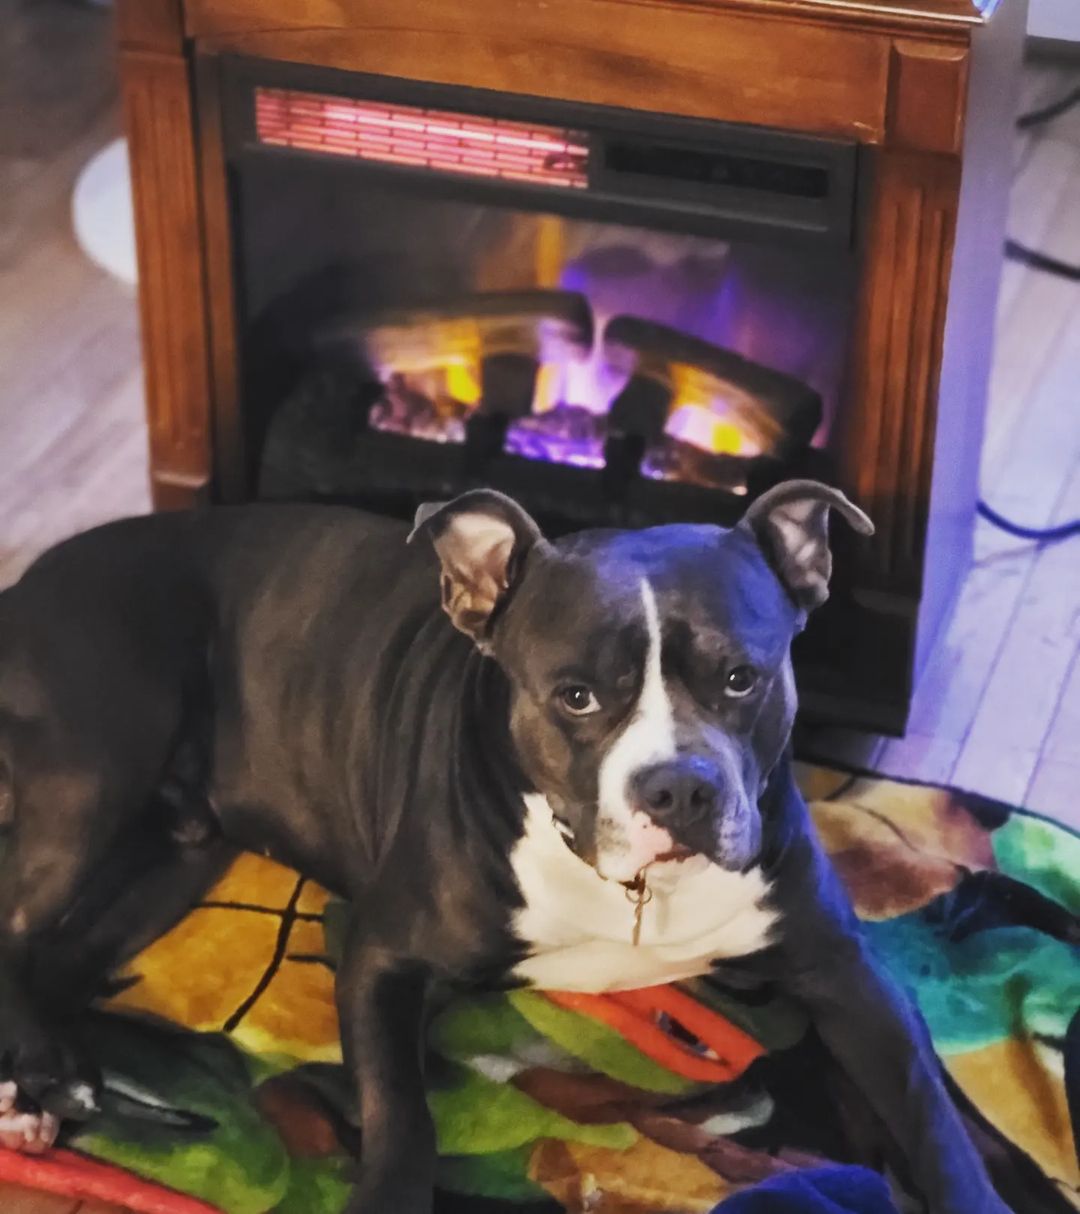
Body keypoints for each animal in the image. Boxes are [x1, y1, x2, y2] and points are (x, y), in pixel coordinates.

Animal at [0, 478, 1009, 1209]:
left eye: (741, 678)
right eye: (576, 696)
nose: (679, 787)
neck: (630, 892)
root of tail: (23, 584)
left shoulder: (843, 970)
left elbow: (931, 1112)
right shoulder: (381, 956)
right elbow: (402, 1115)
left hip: (177, 856)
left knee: (62, 955)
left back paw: (59, 1080)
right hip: (94, 770)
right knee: (17, 926)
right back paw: (41, 1089)